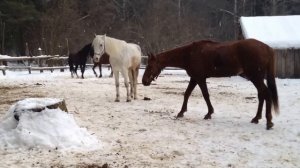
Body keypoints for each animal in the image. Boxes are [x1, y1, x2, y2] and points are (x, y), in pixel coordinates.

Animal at [142, 38, 278, 130]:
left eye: (150, 66)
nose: (144, 81)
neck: (189, 54)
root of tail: (267, 48)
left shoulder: (200, 78)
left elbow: (205, 95)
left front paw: (209, 113)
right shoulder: (194, 78)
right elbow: (187, 94)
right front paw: (181, 112)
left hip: (255, 77)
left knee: (266, 94)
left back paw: (269, 122)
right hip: (256, 78)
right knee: (262, 95)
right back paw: (256, 118)